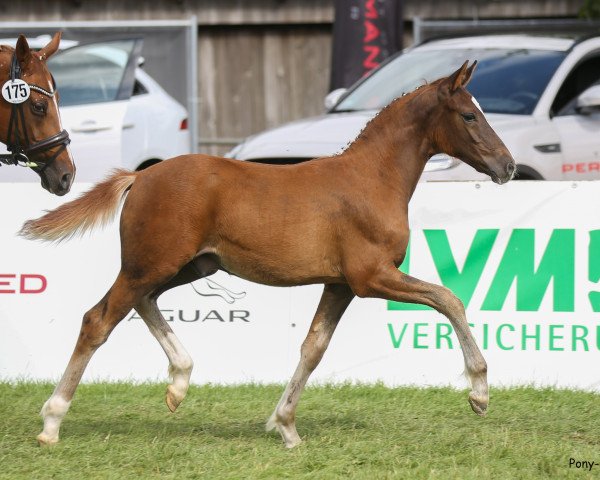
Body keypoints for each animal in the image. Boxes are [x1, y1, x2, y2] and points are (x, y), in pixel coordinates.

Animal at [21, 62, 512, 448]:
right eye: (469, 114)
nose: (507, 166)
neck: (373, 179)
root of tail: (140, 178)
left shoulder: (339, 284)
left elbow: (313, 347)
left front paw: (286, 425)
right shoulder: (371, 276)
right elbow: (449, 299)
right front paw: (479, 392)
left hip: (189, 266)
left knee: (143, 302)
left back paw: (178, 382)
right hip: (149, 265)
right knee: (98, 319)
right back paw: (52, 421)